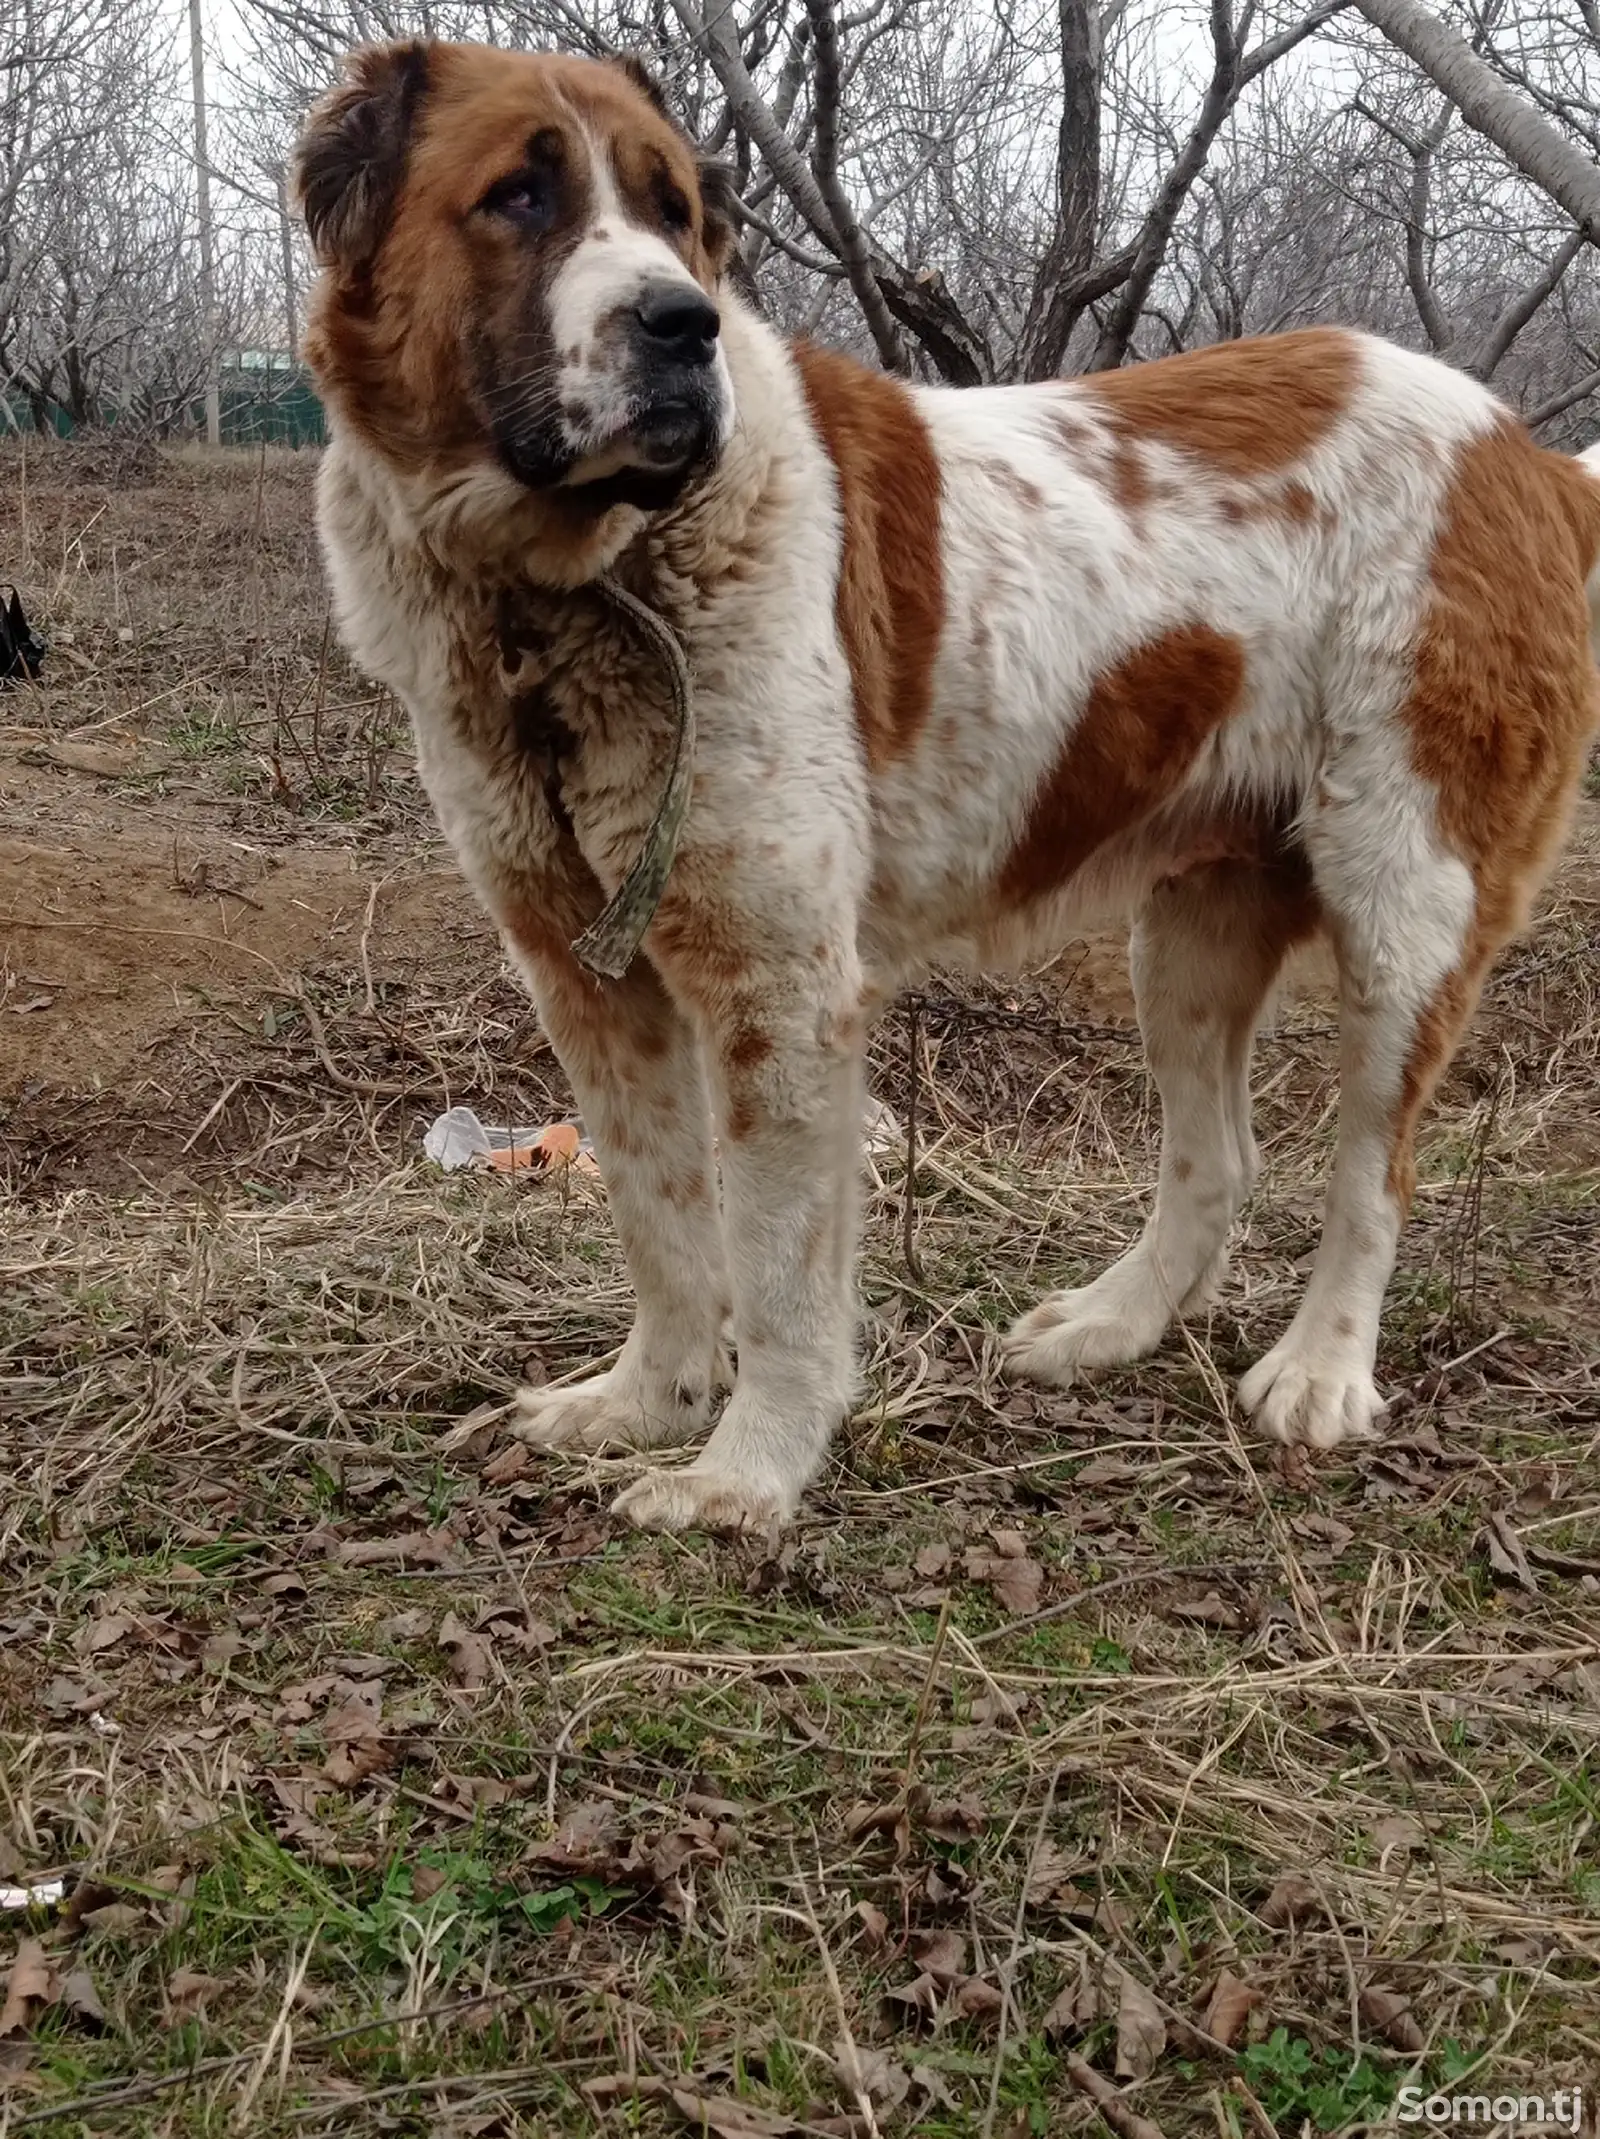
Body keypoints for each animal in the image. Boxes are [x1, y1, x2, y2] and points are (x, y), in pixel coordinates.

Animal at [293, 37, 1600, 1540]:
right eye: (518, 196)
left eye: (675, 211)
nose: (683, 324)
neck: (562, 587)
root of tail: (1531, 456)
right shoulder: (586, 975)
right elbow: (660, 1216)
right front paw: (647, 1402)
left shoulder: (777, 993)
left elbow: (774, 1262)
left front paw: (749, 1470)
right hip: (1192, 929)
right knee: (1218, 1159)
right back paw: (1111, 1325)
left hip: (1405, 903)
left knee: (1371, 1172)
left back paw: (1322, 1371)